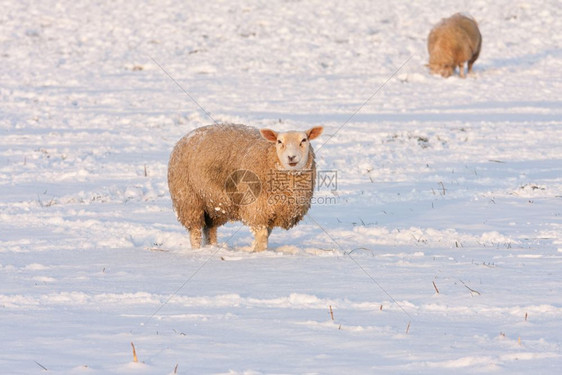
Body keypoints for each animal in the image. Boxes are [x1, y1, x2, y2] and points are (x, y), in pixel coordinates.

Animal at [166, 124, 322, 253]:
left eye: (304, 140)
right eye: (279, 142)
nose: (291, 157)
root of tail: (184, 137)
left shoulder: (271, 211)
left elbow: (266, 234)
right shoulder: (257, 208)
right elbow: (262, 236)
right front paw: (260, 253)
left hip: (213, 203)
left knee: (210, 229)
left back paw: (212, 247)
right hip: (189, 199)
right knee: (195, 231)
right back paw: (197, 250)